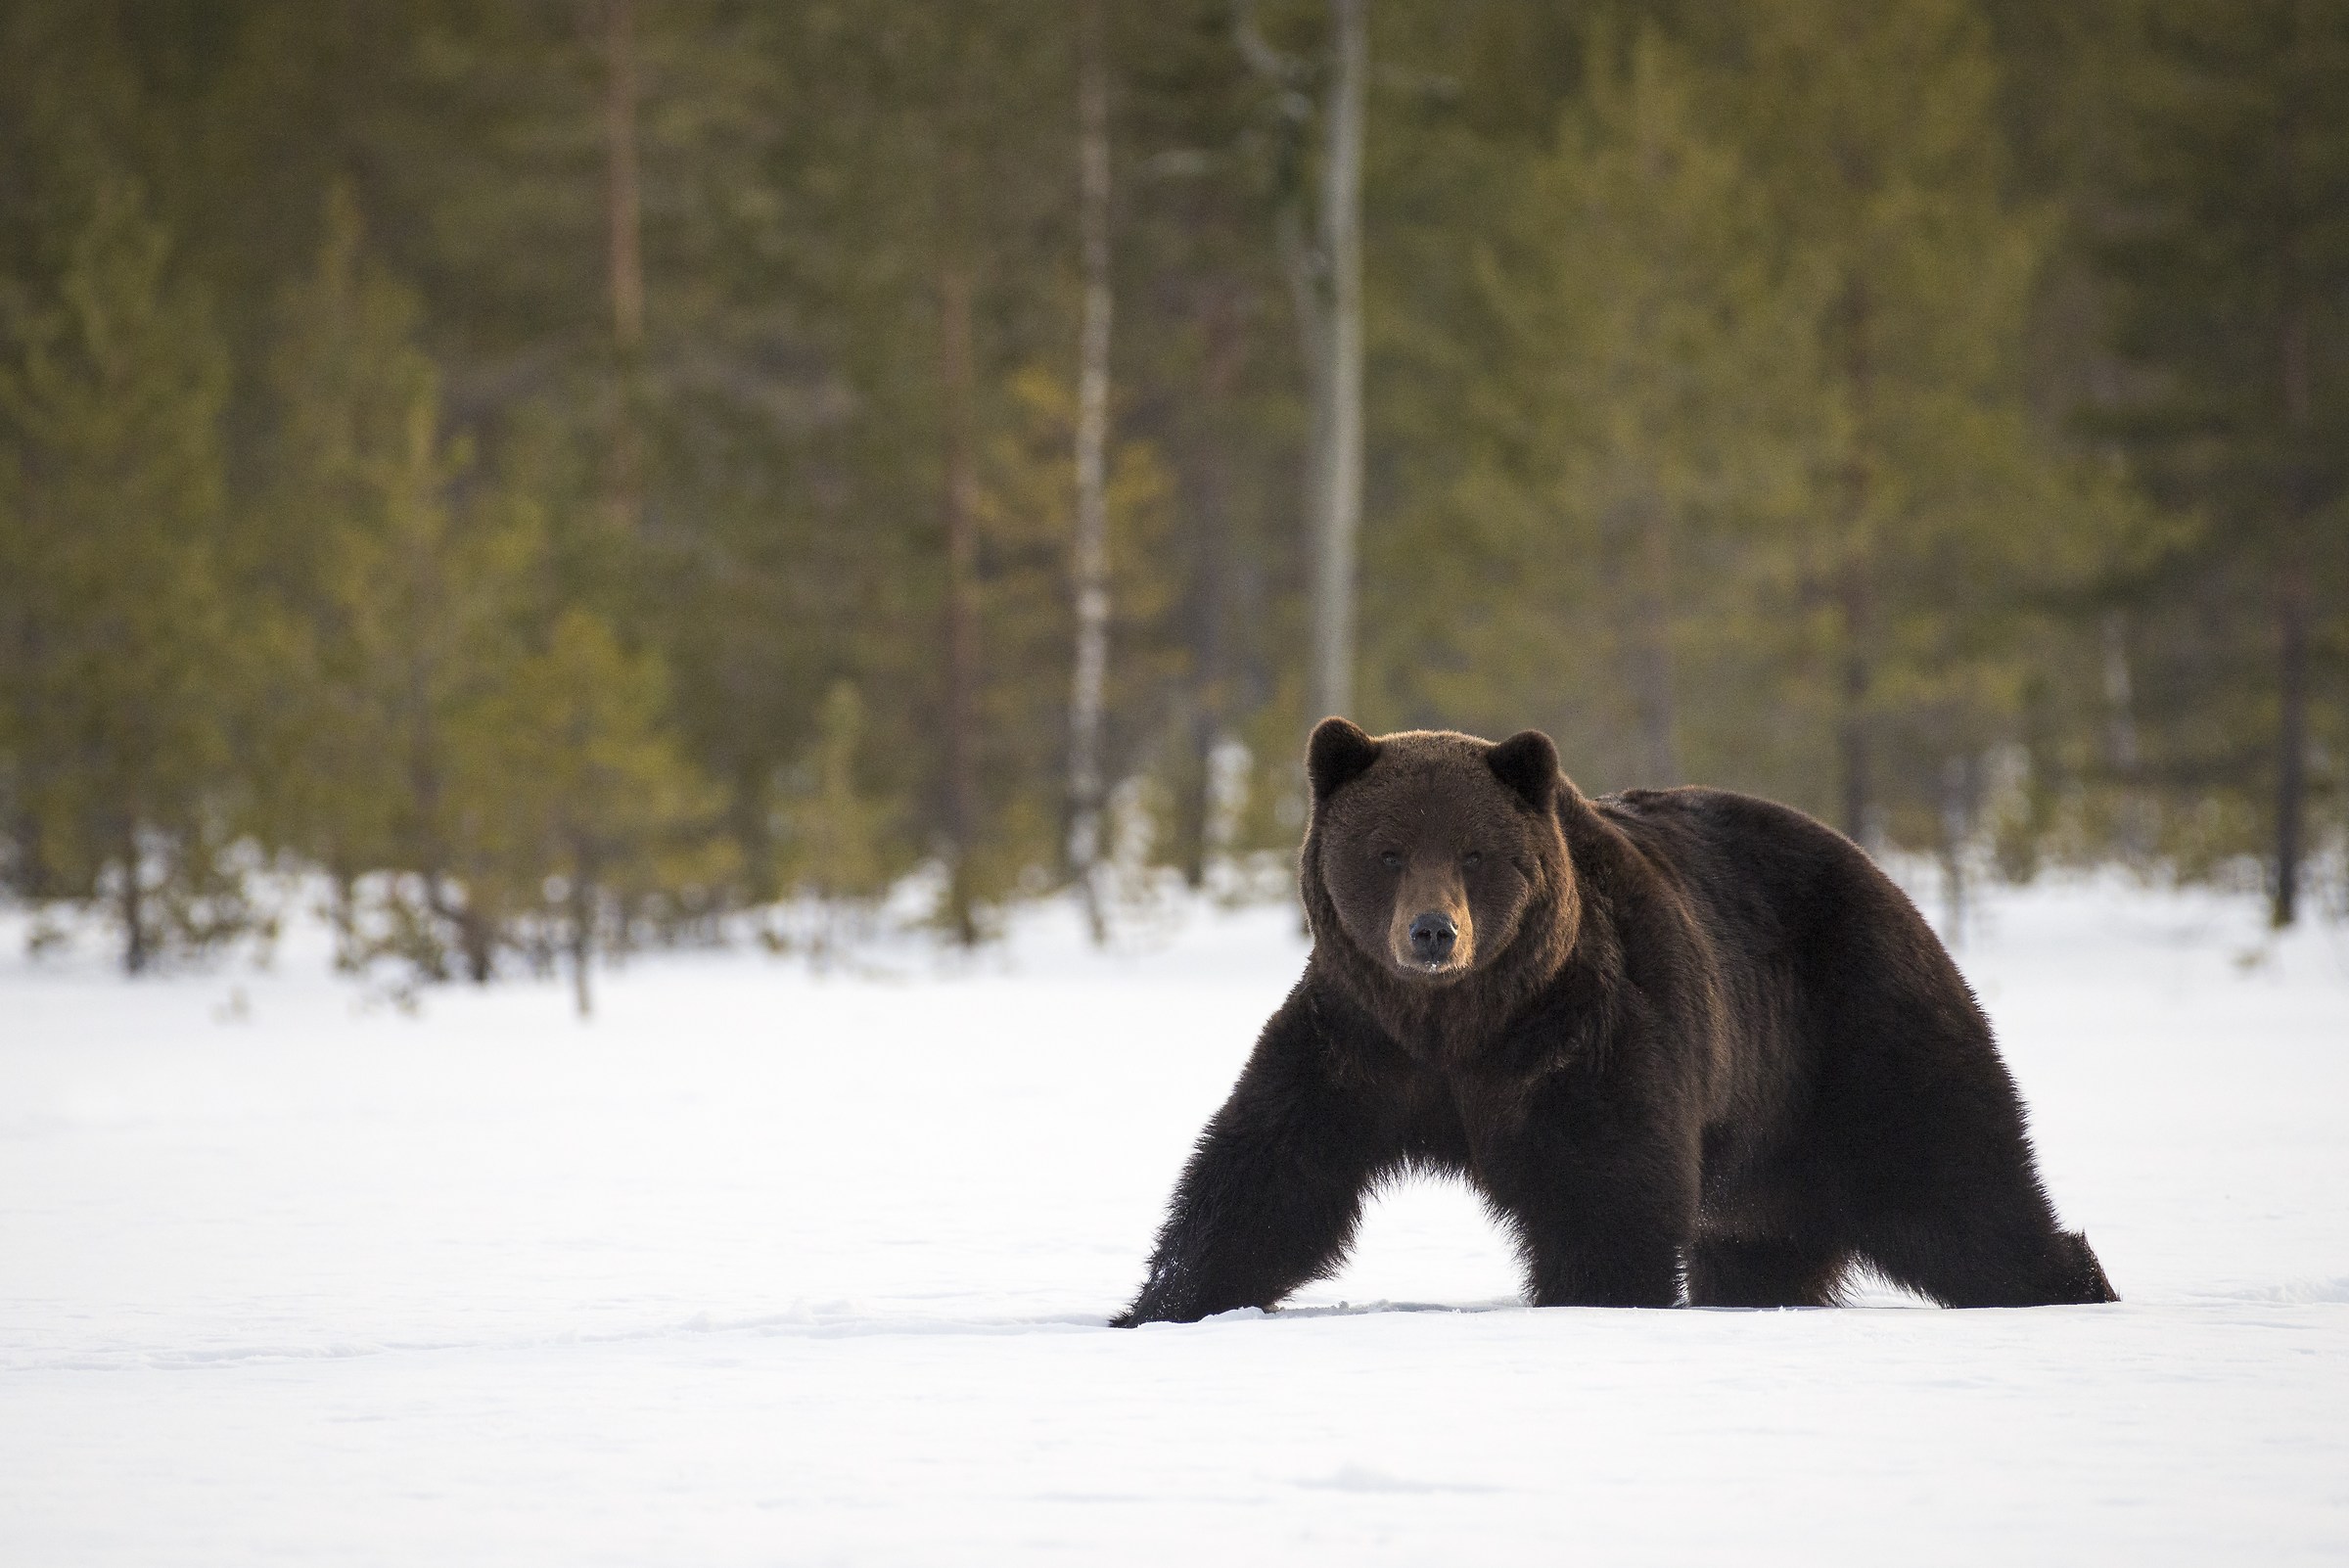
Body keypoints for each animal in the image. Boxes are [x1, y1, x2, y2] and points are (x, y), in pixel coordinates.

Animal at [1113, 719, 2117, 1324]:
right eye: (1387, 849)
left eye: (1474, 852)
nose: (1433, 932)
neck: (1462, 1024)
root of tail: (1883, 875)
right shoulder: (1358, 1043)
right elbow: (1266, 1175)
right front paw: (1158, 1303)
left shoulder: (1582, 1032)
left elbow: (1604, 1187)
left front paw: (1593, 1299)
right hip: (1771, 1144)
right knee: (1764, 1245)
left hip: (1856, 1030)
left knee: (1958, 1190)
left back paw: (2071, 1286)